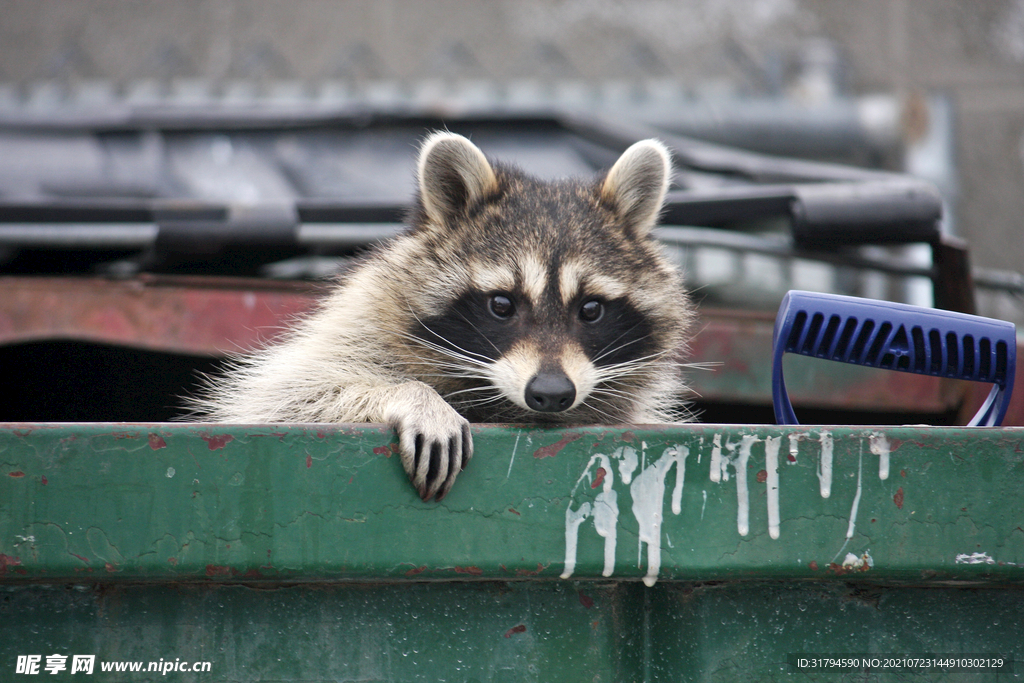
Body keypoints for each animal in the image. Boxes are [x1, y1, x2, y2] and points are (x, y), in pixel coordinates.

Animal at [192, 131, 696, 501]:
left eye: (591, 309)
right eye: (501, 305)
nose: (552, 393)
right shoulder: (355, 325)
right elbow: (287, 396)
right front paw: (410, 395)